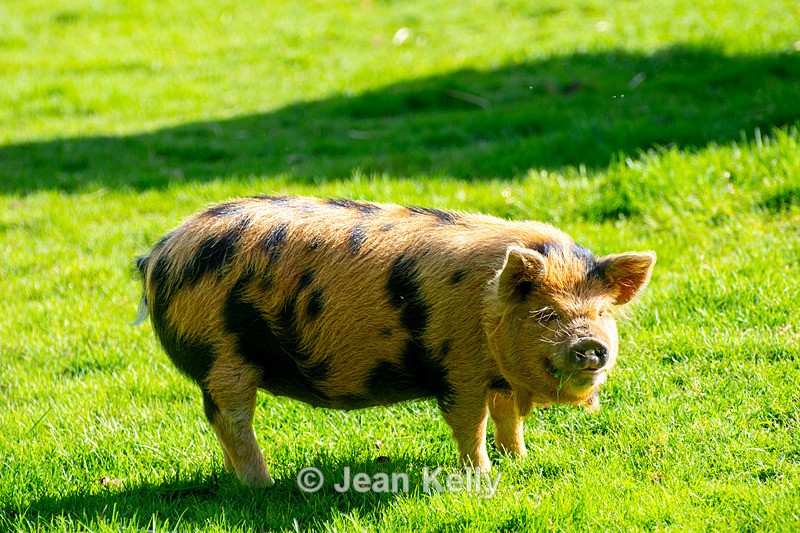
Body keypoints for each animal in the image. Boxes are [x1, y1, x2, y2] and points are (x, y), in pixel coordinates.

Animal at [133, 195, 655, 487]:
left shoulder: (497, 376)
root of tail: (158, 255)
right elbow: (470, 424)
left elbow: (508, 418)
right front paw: (485, 476)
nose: (589, 344)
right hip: (223, 354)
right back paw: (264, 486)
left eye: (603, 312)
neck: (487, 307)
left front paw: (521, 459)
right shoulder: (458, 370)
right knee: (232, 418)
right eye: (546, 314)